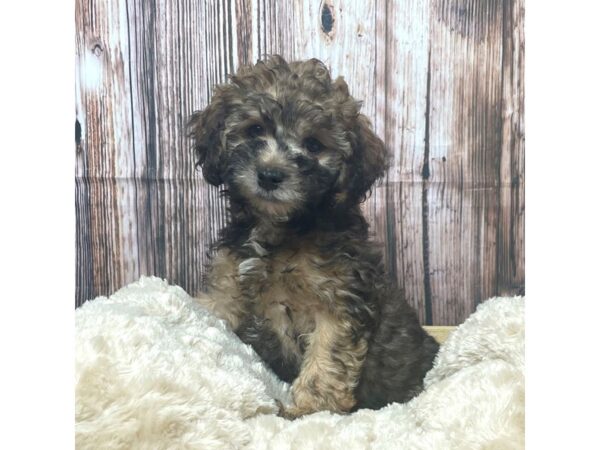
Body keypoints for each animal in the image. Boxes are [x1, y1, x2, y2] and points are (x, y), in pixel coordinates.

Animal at [190, 55, 438, 418]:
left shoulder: (338, 302)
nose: (270, 175)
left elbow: (325, 363)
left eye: (314, 145)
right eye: (255, 130)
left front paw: (308, 410)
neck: (281, 230)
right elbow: (214, 313)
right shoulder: (229, 282)